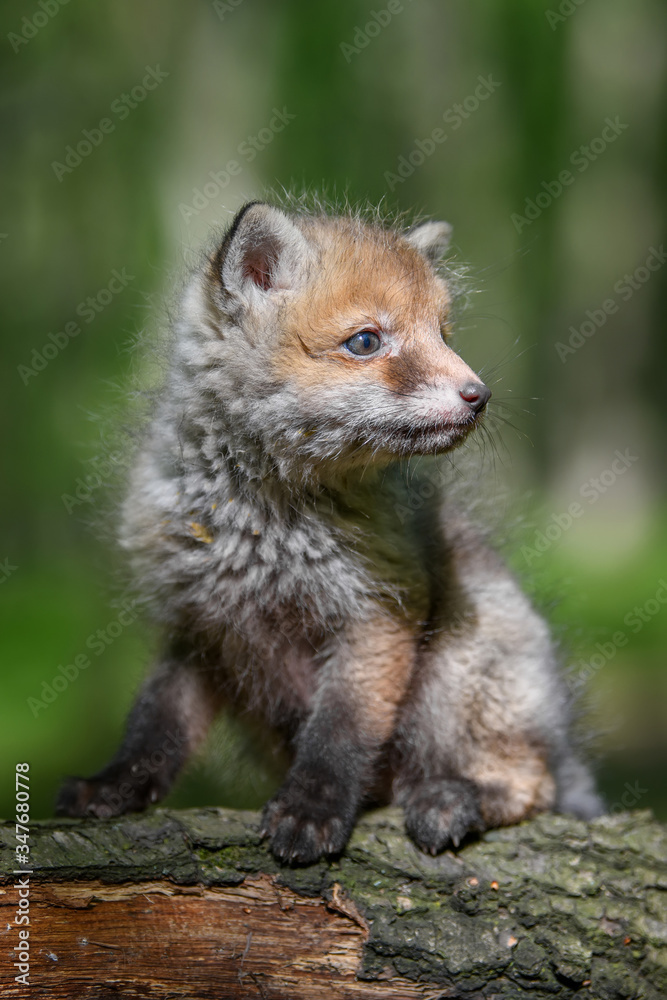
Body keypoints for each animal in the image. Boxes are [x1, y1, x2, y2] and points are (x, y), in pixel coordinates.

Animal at [54, 201, 604, 860]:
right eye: (366, 341)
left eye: (443, 335)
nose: (480, 395)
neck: (262, 525)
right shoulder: (194, 625)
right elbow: (154, 729)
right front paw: (113, 787)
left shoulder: (381, 610)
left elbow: (340, 731)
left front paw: (312, 809)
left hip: (457, 675)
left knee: (533, 783)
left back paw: (452, 799)